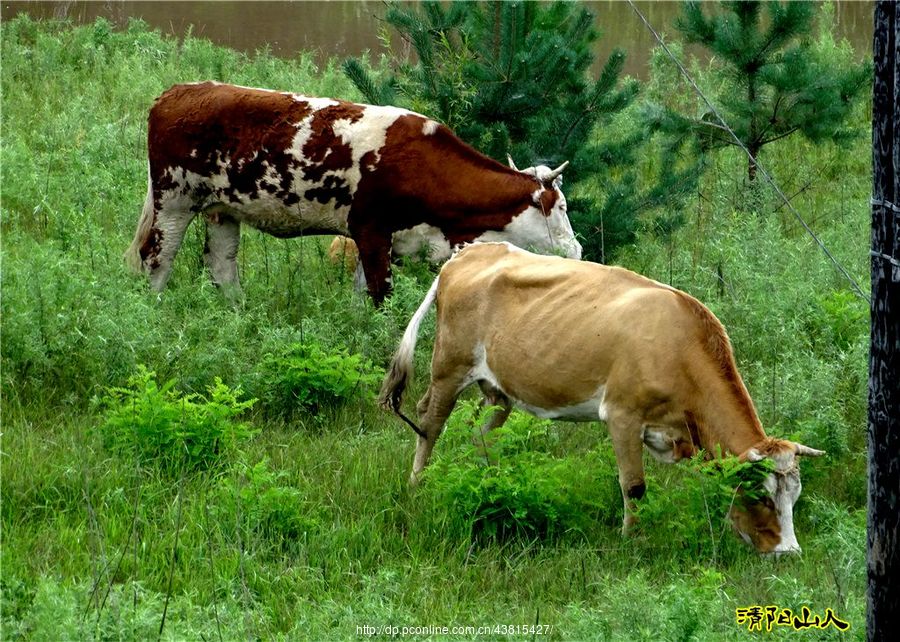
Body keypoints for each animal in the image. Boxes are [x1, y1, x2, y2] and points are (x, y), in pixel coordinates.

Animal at [123, 81, 580, 302]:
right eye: (561, 206)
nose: (577, 251)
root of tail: (178, 91)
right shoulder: (371, 229)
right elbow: (380, 297)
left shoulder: (382, 240)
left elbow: (361, 297)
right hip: (174, 199)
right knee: (156, 259)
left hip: (223, 209)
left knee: (221, 267)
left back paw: (238, 316)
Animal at [376, 242, 828, 552]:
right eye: (761, 496)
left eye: (795, 496)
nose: (788, 552)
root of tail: (470, 252)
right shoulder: (624, 416)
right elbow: (634, 486)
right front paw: (632, 541)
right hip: (448, 369)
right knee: (430, 424)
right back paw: (416, 486)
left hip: (499, 391)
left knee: (480, 434)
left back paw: (489, 482)